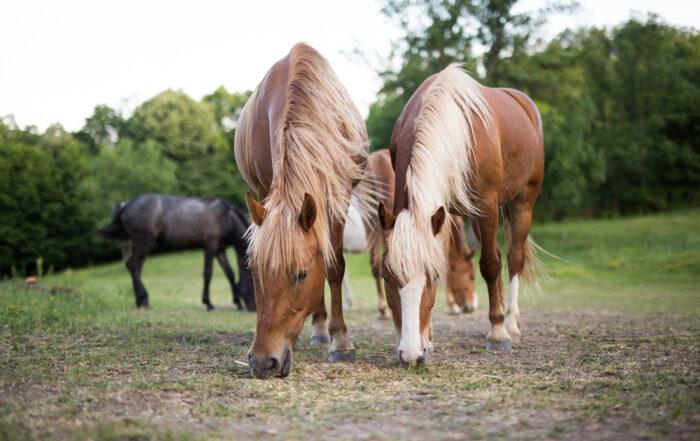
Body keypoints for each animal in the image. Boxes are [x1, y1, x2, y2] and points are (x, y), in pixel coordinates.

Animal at [99, 194, 255, 311]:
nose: (253, 308)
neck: (226, 217)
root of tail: (126, 205)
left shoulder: (219, 249)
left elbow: (229, 273)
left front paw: (238, 303)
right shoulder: (210, 246)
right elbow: (208, 273)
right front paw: (209, 304)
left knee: (136, 266)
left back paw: (141, 301)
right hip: (143, 241)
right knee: (133, 265)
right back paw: (144, 299)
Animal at [234, 43, 370, 378]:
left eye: (301, 274)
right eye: (254, 273)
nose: (263, 362)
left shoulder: (339, 198)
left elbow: (334, 267)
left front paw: (341, 342)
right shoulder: (267, 192)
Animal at [377, 64, 544, 365]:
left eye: (431, 278)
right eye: (387, 277)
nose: (411, 355)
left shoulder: (487, 206)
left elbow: (489, 265)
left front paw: (498, 334)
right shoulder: (439, 213)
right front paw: (428, 340)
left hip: (522, 201)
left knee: (513, 258)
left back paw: (510, 324)